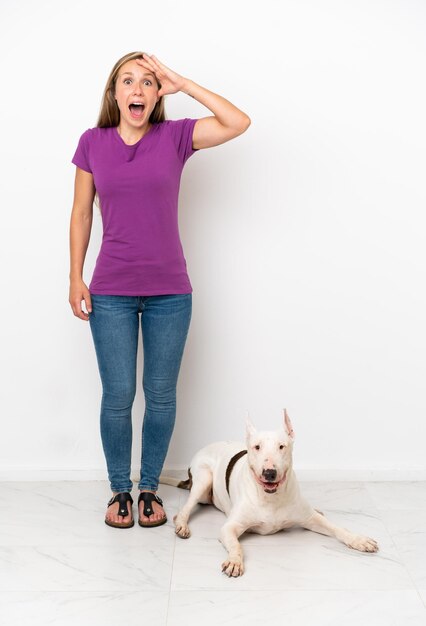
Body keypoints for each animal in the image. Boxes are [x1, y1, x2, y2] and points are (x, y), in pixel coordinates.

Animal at [158, 410, 378, 576]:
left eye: (282, 446)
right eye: (257, 447)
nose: (269, 473)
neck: (271, 498)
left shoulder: (310, 519)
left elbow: (338, 529)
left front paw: (359, 540)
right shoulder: (229, 528)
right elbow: (236, 545)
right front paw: (234, 561)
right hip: (203, 480)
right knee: (185, 508)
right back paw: (182, 525)